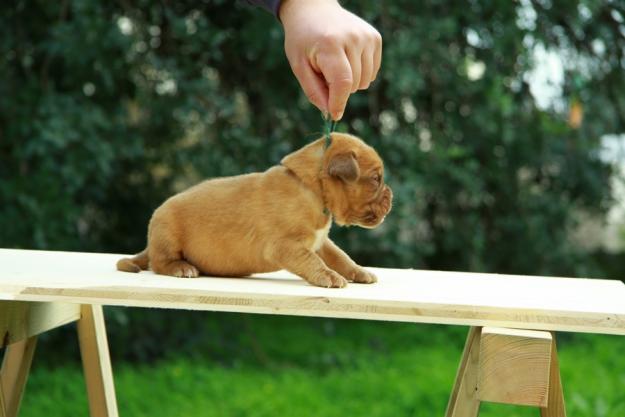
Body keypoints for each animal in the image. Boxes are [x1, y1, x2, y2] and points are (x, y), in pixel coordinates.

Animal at [116, 132, 390, 286]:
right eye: (376, 179)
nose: (391, 196)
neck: (313, 188)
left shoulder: (321, 242)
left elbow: (340, 257)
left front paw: (359, 272)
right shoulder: (287, 246)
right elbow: (314, 262)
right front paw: (329, 277)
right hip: (167, 233)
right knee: (159, 263)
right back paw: (181, 267)